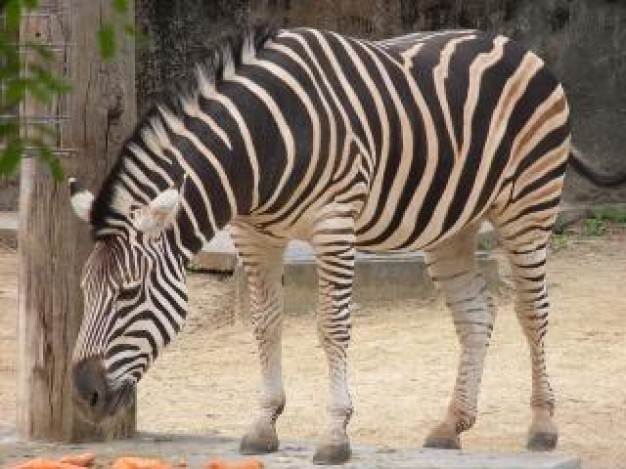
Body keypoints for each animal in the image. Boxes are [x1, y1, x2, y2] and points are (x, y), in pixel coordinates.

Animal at [69, 26, 624, 464]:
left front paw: (335, 434)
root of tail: (516, 45)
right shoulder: (254, 235)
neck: (263, 143)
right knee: (475, 314)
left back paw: (543, 426)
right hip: (453, 225)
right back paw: (451, 425)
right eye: (85, 292)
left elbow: (332, 327)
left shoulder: (334, 225)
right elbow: (265, 327)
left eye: (129, 293)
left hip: (527, 206)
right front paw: (263, 425)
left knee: (533, 312)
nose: (83, 393)